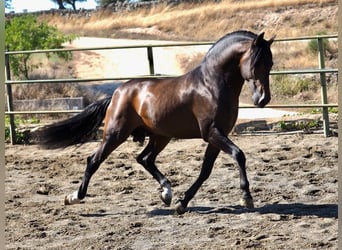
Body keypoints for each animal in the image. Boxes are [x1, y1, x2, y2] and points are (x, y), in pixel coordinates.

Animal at [36, 30, 274, 214]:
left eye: (270, 63)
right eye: (256, 63)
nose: (263, 99)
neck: (211, 86)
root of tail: (118, 93)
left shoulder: (216, 136)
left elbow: (205, 171)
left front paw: (181, 203)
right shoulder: (212, 132)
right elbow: (238, 155)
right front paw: (246, 196)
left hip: (160, 136)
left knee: (144, 159)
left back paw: (166, 193)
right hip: (116, 133)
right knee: (94, 160)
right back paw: (74, 197)